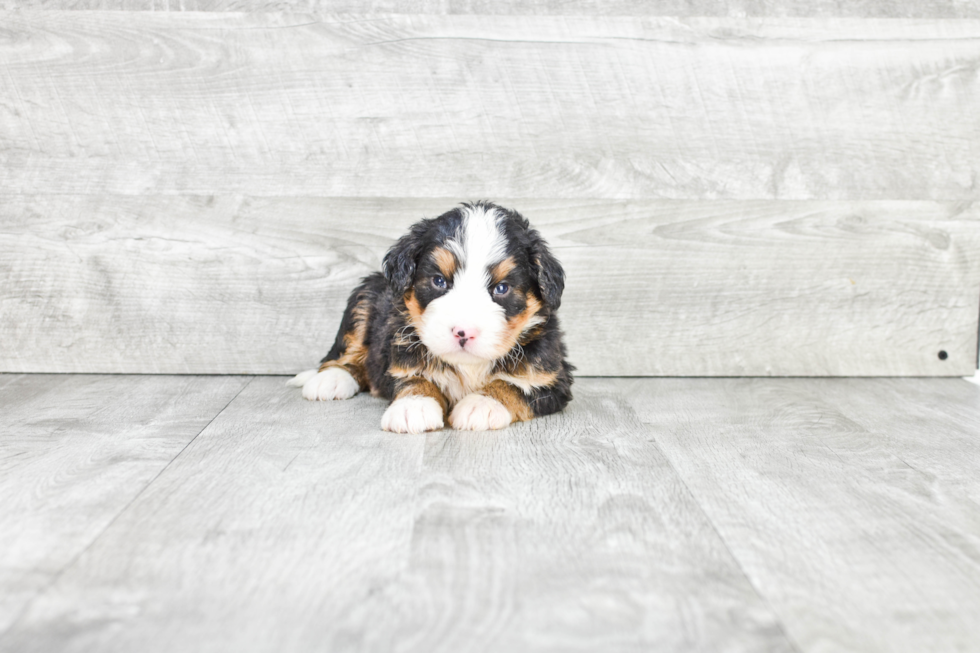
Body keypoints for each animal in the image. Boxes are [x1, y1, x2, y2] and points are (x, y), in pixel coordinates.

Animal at [288, 200, 572, 432]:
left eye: (501, 288)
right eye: (439, 281)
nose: (464, 332)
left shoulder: (551, 377)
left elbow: (513, 385)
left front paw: (482, 404)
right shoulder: (401, 352)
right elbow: (415, 377)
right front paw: (413, 405)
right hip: (365, 295)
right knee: (345, 353)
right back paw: (330, 379)